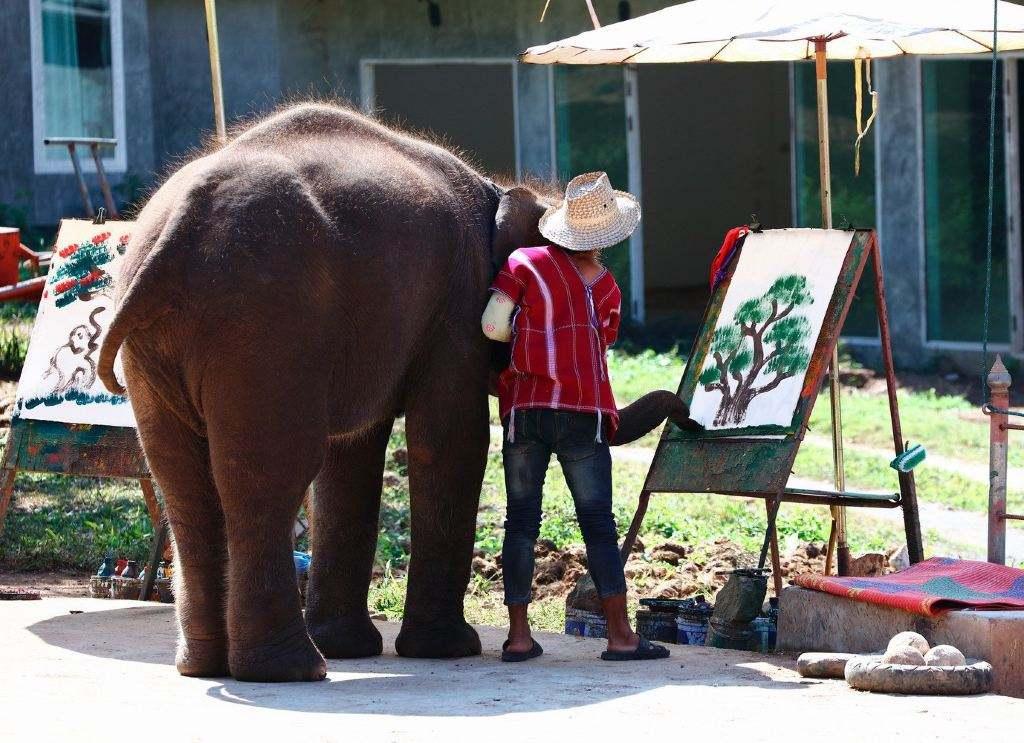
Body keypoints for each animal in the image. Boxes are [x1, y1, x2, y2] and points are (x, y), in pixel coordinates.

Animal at [99, 101, 700, 683]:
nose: (691, 419)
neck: (499, 190)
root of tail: (178, 227)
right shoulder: (455, 309)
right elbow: (451, 441)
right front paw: (449, 650)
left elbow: (351, 457)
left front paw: (353, 648)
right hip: (263, 325)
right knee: (268, 474)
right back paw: (291, 671)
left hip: (162, 344)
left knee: (184, 482)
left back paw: (207, 666)